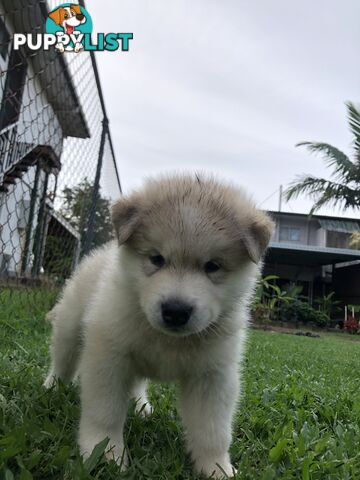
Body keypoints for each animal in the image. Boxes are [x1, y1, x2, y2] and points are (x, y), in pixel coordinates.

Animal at [45, 172, 276, 476]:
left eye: (212, 266)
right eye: (156, 259)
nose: (176, 311)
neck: (169, 339)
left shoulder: (212, 376)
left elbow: (213, 430)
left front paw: (216, 467)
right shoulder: (108, 357)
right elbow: (105, 412)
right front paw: (105, 453)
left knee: (136, 384)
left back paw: (141, 406)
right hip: (71, 326)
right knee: (63, 359)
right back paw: (51, 387)